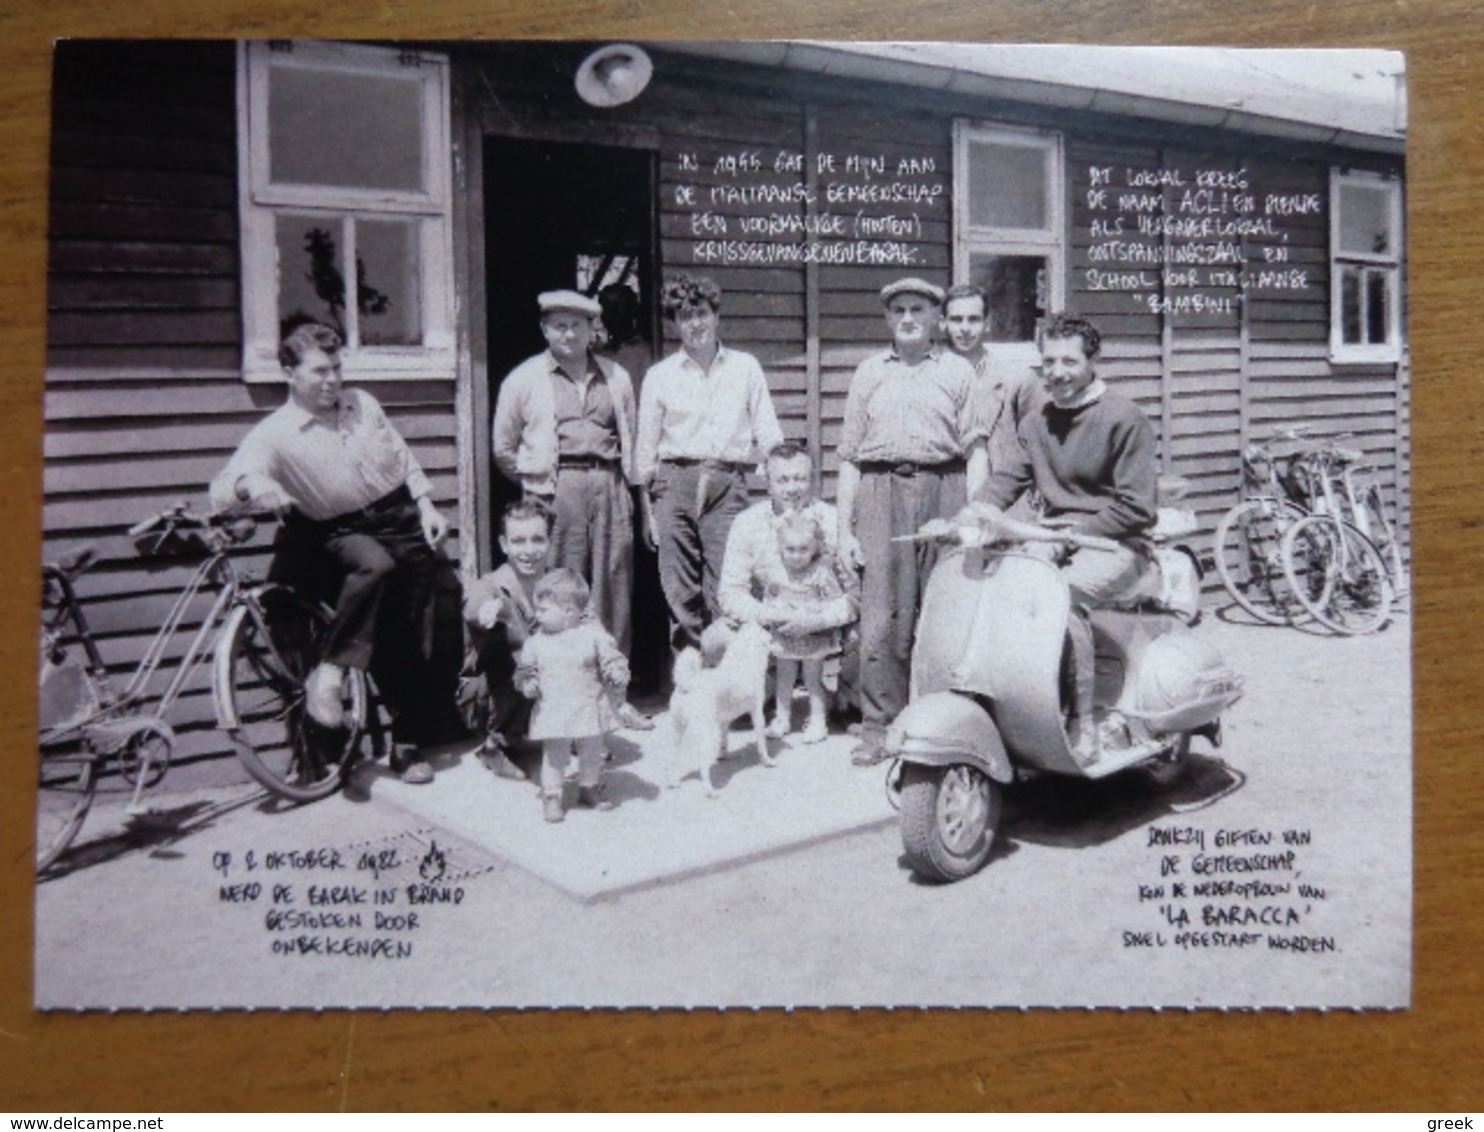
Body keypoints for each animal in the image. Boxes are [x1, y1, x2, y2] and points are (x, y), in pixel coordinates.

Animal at [664, 620, 777, 795]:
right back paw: (710, 791)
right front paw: (766, 760)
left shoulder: (724, 721)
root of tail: (688, 682)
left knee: (671, 757)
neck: (743, 660)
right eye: (770, 639)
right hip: (706, 734)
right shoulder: (757, 713)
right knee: (703, 765)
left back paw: (672, 782)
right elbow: (761, 743)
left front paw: (723, 755)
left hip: (678, 730)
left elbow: (724, 739)